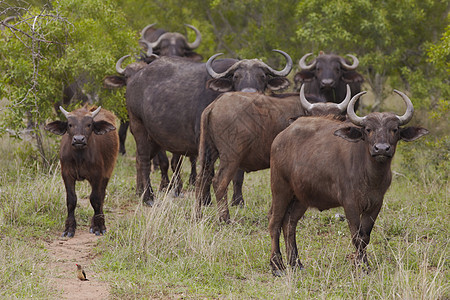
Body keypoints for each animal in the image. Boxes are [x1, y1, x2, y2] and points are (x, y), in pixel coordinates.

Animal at [45, 106, 119, 238]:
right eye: (70, 124)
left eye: (89, 124)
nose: (79, 139)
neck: (79, 157)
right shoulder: (67, 175)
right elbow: (71, 200)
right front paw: (69, 228)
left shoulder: (97, 176)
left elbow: (95, 199)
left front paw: (98, 227)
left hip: (107, 173)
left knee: (101, 197)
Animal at [128, 50, 294, 207]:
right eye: (236, 76)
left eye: (262, 76)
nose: (249, 93)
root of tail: (135, 79)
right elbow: (208, 173)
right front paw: (206, 200)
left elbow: (238, 175)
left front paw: (238, 201)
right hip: (138, 126)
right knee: (143, 160)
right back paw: (148, 197)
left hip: (156, 139)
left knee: (140, 159)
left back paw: (140, 191)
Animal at [195, 84, 350, 223]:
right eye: (314, 117)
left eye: (335, 117)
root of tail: (215, 105)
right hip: (231, 157)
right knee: (219, 182)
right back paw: (225, 218)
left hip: (208, 153)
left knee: (201, 179)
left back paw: (198, 215)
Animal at [268, 90, 428, 276]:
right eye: (368, 129)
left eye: (394, 129)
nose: (381, 149)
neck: (370, 176)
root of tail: (280, 137)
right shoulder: (350, 204)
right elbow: (356, 236)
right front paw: (361, 266)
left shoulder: (376, 204)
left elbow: (365, 236)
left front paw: (364, 265)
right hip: (280, 188)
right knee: (275, 223)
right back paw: (277, 265)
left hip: (301, 198)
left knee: (289, 224)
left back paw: (296, 263)